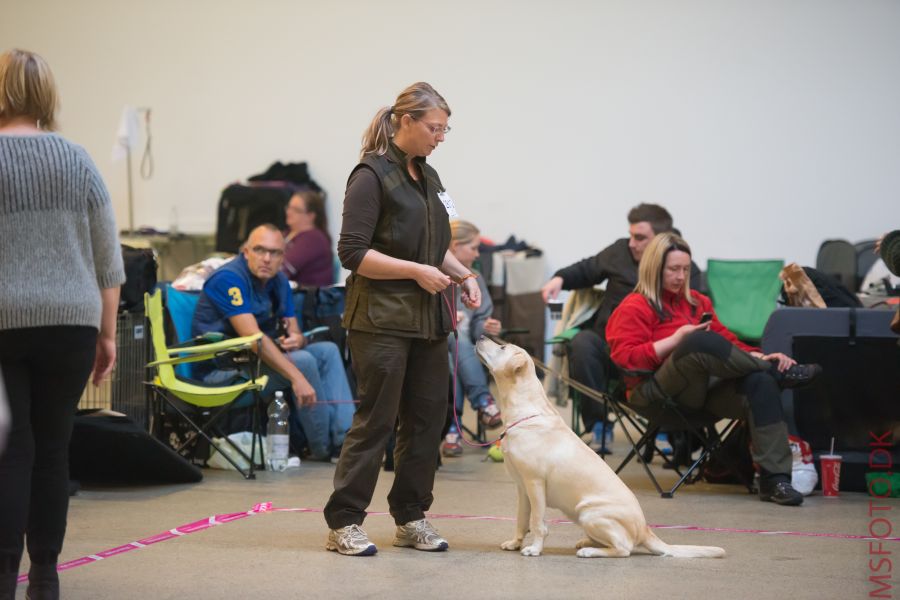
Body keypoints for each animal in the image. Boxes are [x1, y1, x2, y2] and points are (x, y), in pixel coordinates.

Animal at [478, 338, 724, 556]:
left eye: (502, 347)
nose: (480, 335)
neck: (525, 414)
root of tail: (645, 530)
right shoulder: (522, 488)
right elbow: (521, 520)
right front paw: (515, 543)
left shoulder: (535, 483)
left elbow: (537, 522)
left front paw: (535, 549)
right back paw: (586, 542)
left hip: (588, 513)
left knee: (624, 549)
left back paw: (589, 550)